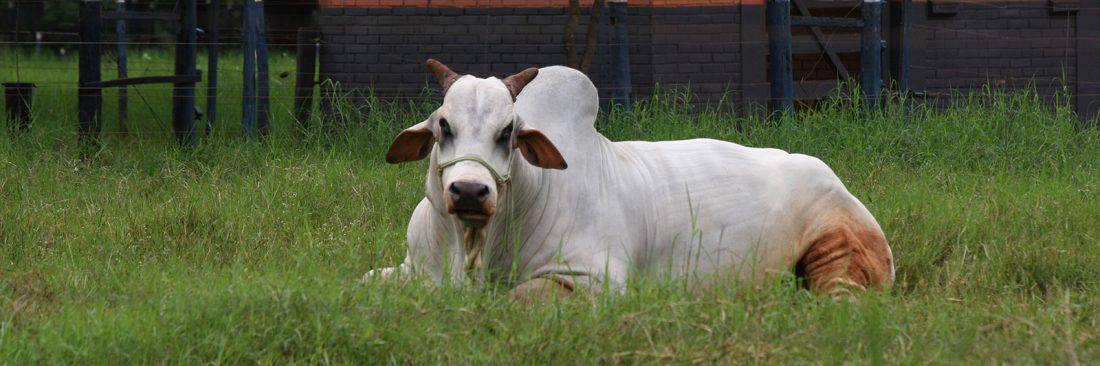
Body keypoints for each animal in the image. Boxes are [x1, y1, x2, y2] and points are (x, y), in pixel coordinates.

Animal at [369, 59, 893, 298]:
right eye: (443, 126)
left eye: (509, 133)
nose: (470, 191)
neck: (474, 246)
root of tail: (838, 183)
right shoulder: (412, 269)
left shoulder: (592, 279)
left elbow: (519, 298)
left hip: (841, 254)